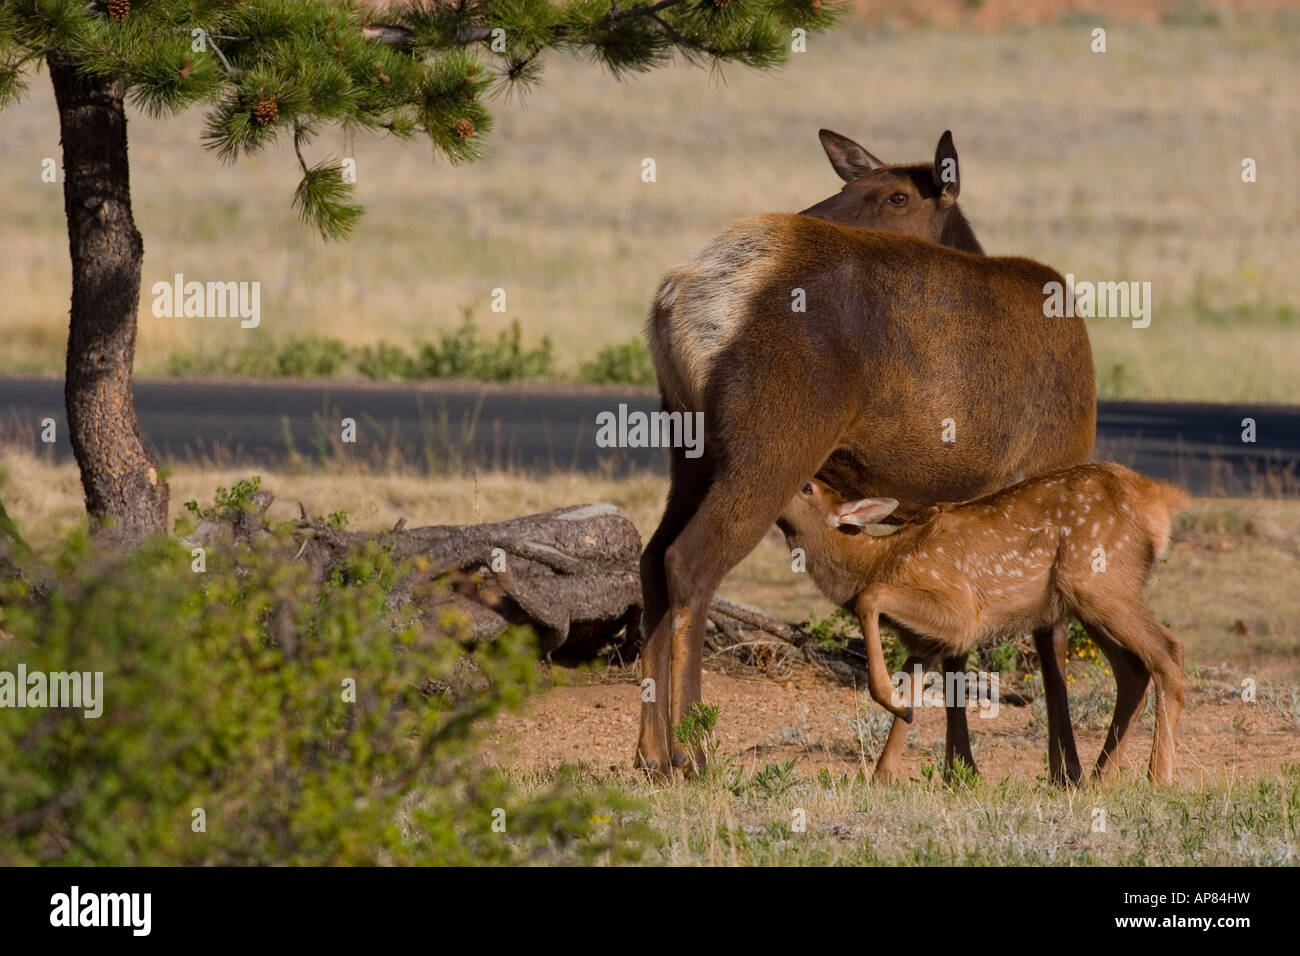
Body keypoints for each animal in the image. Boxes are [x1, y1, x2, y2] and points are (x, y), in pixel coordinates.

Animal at [639, 130, 1097, 780]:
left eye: (896, 195)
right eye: (852, 186)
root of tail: (681, 296)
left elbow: (950, 641)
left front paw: (957, 766)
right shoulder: (1048, 468)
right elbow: (1049, 631)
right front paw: (1068, 770)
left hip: (689, 441)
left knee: (651, 557)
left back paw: (650, 751)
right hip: (775, 438)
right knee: (689, 560)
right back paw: (692, 750)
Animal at [769, 463, 1190, 785]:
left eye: (807, 486)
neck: (879, 560)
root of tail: (1157, 500)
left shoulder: (959, 610)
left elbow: (870, 599)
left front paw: (892, 705)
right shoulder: (927, 642)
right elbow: (911, 695)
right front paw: (883, 775)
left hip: (1097, 582)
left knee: (1168, 652)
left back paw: (1157, 777)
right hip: (1095, 599)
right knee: (1133, 671)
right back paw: (1101, 777)